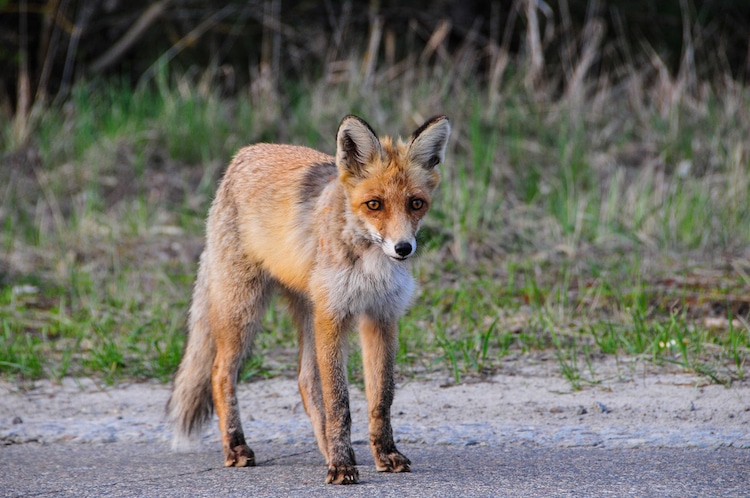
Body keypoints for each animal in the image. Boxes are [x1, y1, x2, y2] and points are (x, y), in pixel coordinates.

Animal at [169, 114, 452, 482]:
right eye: (374, 204)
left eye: (416, 203)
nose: (403, 248)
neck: (369, 265)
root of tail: (244, 153)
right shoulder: (333, 316)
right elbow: (339, 402)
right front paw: (342, 465)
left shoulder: (381, 316)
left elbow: (381, 398)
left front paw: (384, 454)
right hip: (244, 310)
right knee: (220, 373)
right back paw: (236, 446)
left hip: (306, 312)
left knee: (305, 381)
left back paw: (325, 448)